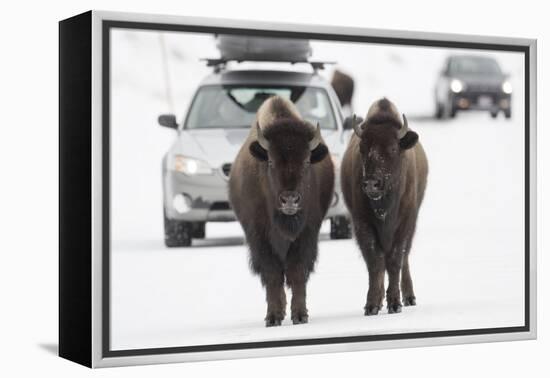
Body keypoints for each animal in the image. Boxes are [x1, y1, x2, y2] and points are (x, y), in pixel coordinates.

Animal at [227, 96, 334, 326]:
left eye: (306, 161)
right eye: (270, 161)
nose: (290, 199)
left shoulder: (306, 235)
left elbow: (297, 272)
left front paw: (300, 315)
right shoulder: (259, 237)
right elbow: (272, 274)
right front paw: (273, 316)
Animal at [342, 98, 430, 316]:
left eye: (392, 148)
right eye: (363, 148)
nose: (371, 184)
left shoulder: (405, 223)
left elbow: (395, 260)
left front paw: (395, 303)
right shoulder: (362, 223)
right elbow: (375, 261)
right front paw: (372, 304)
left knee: (404, 259)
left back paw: (409, 297)